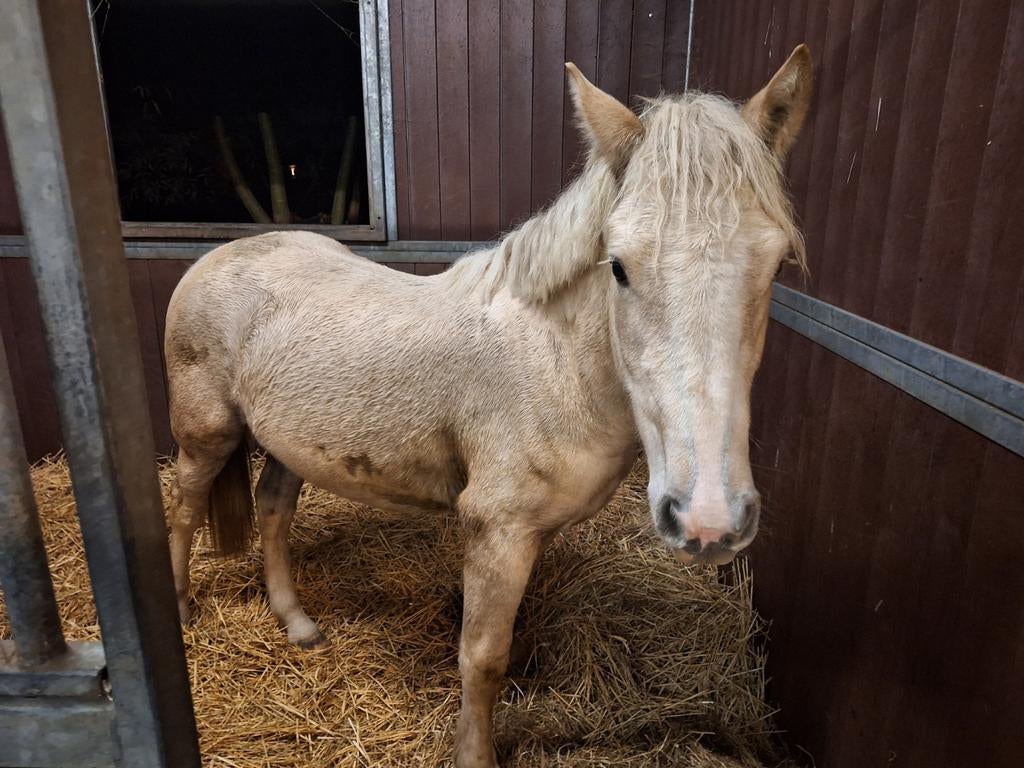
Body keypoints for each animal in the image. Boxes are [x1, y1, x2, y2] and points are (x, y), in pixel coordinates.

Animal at [165, 46, 813, 768]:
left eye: (775, 266)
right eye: (618, 266)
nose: (708, 521)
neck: (552, 360)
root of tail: (219, 255)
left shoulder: (532, 532)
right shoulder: (497, 529)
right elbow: (482, 659)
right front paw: (474, 751)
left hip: (291, 442)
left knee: (274, 511)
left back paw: (297, 623)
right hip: (207, 433)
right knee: (185, 507)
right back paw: (184, 610)